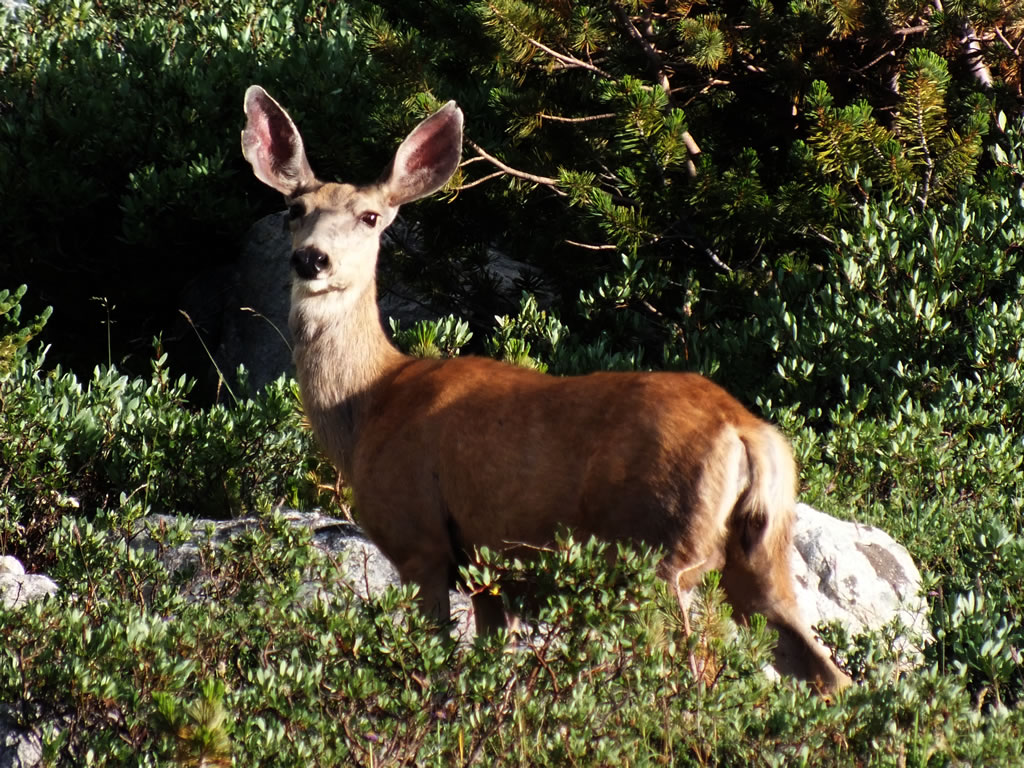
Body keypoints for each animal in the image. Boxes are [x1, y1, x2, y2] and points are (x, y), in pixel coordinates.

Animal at [240, 85, 852, 695]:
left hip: (659, 552)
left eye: (370, 217)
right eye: (295, 210)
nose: (311, 258)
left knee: (688, 667)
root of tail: (747, 432)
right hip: (761, 555)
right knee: (825, 669)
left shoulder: (418, 537)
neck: (371, 403)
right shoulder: (489, 568)